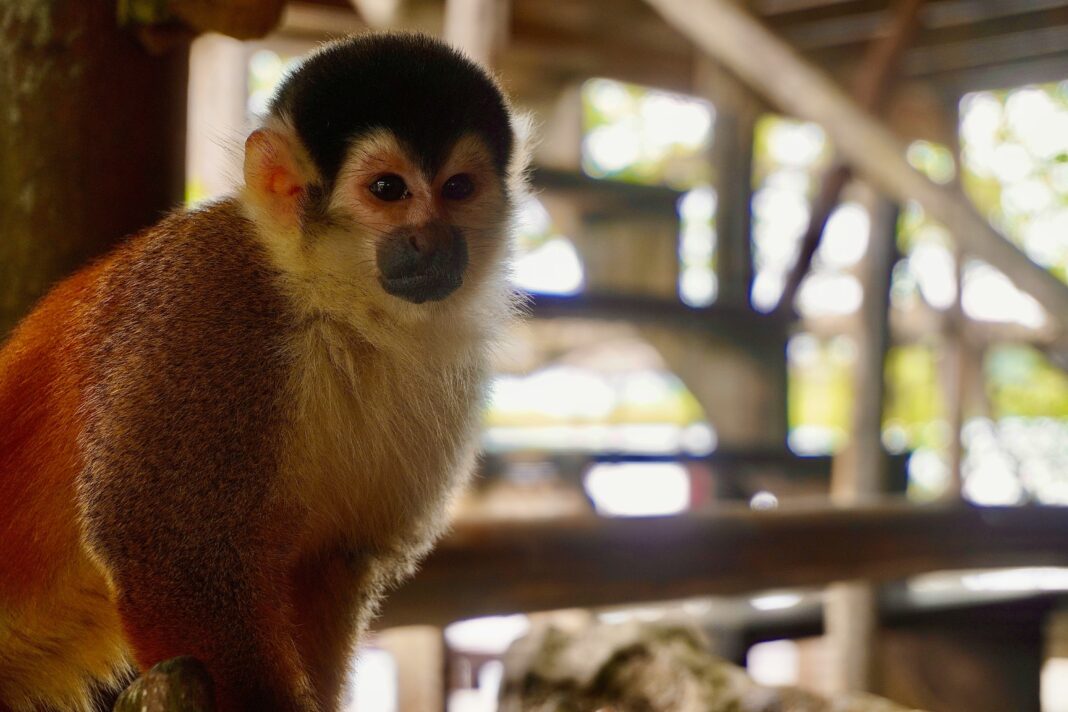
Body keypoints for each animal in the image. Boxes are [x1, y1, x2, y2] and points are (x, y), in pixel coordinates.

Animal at [0, 32, 522, 712]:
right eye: (389, 189)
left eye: (458, 187)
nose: (432, 241)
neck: (334, 308)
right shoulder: (204, 312)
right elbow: (177, 558)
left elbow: (330, 565)